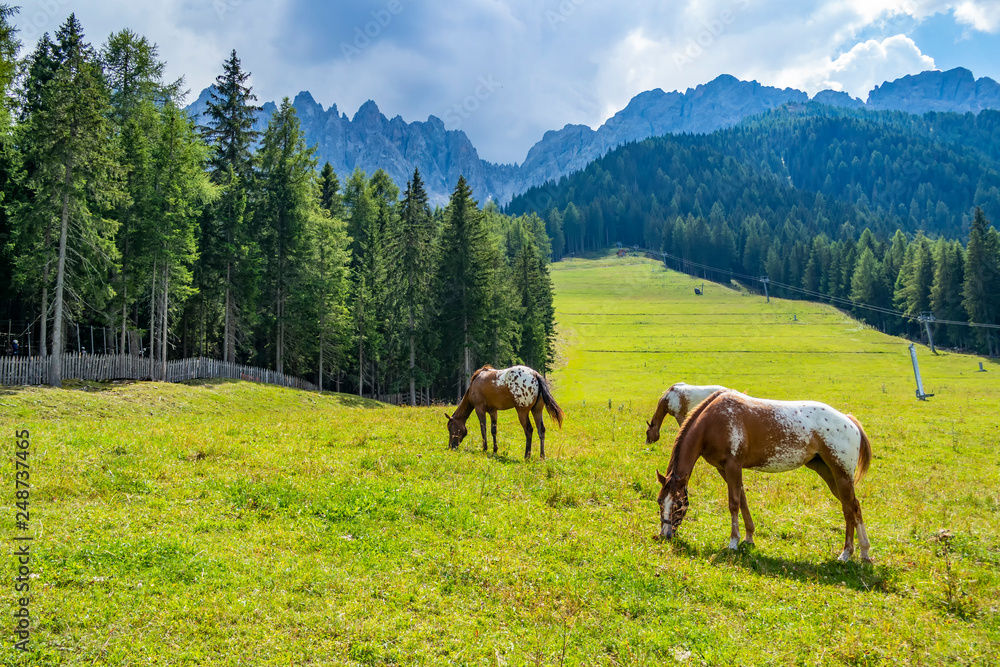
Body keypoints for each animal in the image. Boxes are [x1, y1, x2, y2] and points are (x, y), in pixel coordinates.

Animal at [655, 390, 873, 562]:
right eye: (659, 502)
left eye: (678, 504)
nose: (665, 535)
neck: (713, 422)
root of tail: (849, 421)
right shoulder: (723, 469)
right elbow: (742, 500)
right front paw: (749, 537)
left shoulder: (733, 466)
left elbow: (734, 503)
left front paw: (733, 541)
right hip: (828, 473)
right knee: (855, 506)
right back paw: (864, 552)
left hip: (841, 474)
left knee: (848, 509)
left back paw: (846, 553)